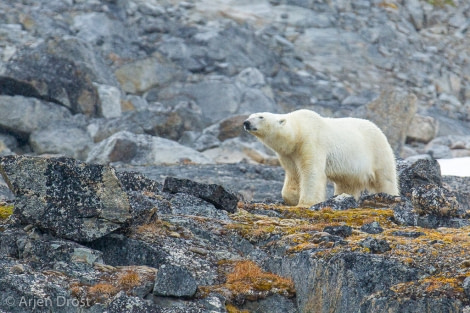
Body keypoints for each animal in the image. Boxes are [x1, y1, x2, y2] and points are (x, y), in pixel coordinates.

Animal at [244, 108, 398, 206]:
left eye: (261, 117)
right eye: (250, 115)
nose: (246, 122)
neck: (299, 132)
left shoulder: (311, 142)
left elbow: (311, 172)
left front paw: (306, 203)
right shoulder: (289, 154)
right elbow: (293, 174)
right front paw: (293, 197)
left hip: (378, 151)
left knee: (385, 179)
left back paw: (391, 196)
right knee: (347, 183)